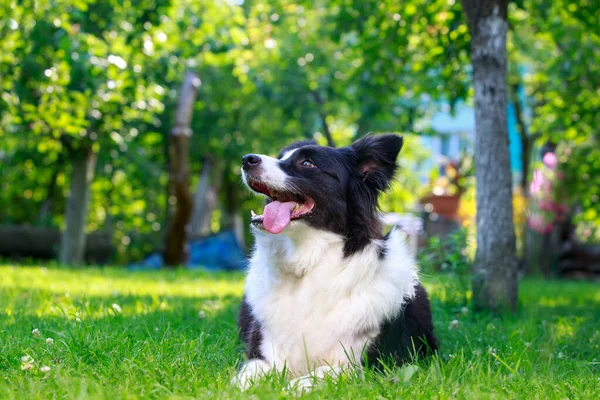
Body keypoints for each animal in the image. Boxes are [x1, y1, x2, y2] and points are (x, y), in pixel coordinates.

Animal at [233, 134, 436, 390]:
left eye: (307, 163)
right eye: (281, 157)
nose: (246, 159)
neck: (307, 263)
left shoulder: (363, 363)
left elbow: (321, 374)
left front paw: (292, 388)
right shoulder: (263, 350)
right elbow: (250, 372)